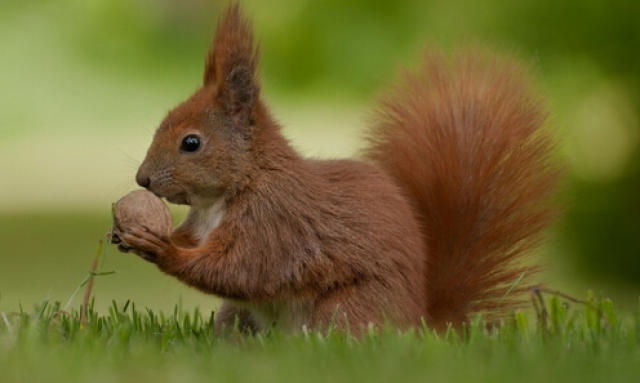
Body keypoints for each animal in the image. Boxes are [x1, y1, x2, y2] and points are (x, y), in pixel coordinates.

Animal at [116, 4, 560, 334]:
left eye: (191, 143)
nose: (143, 179)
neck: (229, 192)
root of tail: (420, 322)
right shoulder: (203, 223)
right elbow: (197, 244)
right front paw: (129, 234)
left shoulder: (275, 223)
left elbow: (240, 270)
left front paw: (163, 249)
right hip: (237, 316)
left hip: (344, 310)